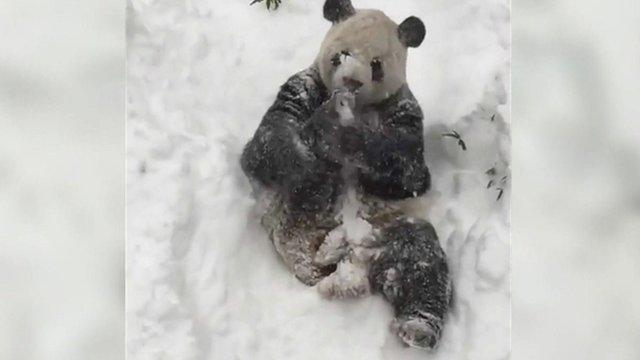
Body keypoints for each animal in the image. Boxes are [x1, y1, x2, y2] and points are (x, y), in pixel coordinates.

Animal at [242, 0, 452, 348]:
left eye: (376, 64)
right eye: (341, 54)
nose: (351, 82)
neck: (359, 106)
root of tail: (353, 263)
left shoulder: (404, 109)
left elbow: (410, 172)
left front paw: (339, 131)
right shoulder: (304, 86)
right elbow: (265, 146)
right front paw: (315, 168)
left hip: (390, 228)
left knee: (422, 260)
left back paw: (418, 326)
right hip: (297, 232)